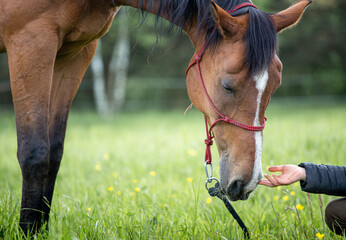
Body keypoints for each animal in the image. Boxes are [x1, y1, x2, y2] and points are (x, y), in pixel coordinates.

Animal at [0, 0, 310, 234]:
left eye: (275, 86)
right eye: (227, 85)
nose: (247, 181)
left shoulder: (75, 52)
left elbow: (54, 153)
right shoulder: (31, 39)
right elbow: (35, 153)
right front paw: (28, 231)